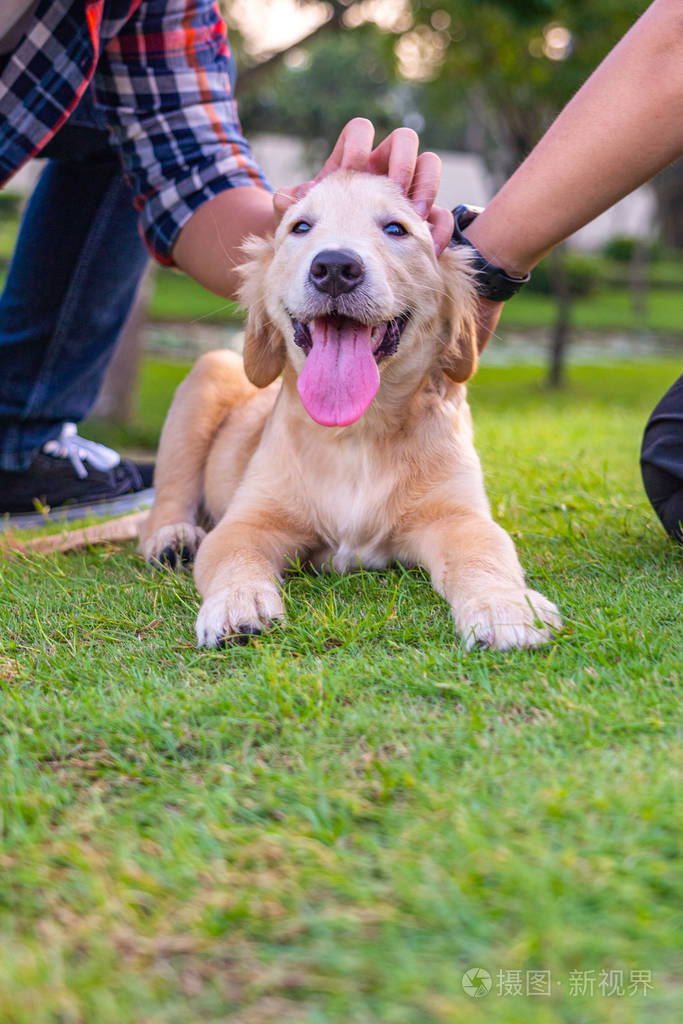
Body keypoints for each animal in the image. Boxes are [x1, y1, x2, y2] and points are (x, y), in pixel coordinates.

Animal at [137, 167, 561, 647]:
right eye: (300, 227)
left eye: (396, 229)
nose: (336, 268)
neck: (356, 431)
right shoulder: (249, 520)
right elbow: (231, 556)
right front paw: (237, 603)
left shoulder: (457, 516)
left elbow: (485, 553)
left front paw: (505, 607)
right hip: (210, 373)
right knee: (165, 503)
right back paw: (173, 539)